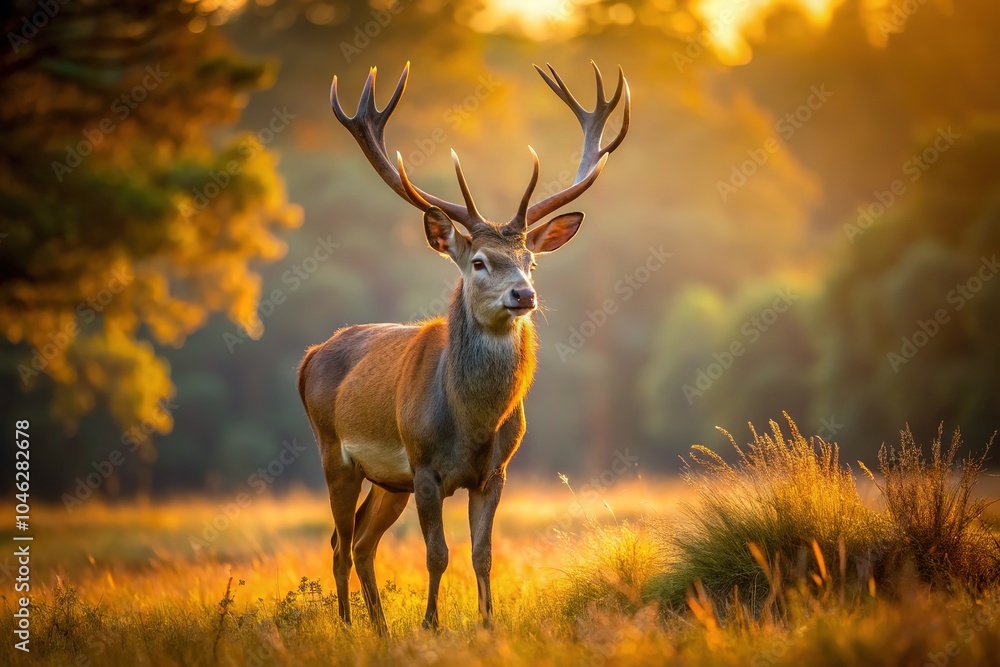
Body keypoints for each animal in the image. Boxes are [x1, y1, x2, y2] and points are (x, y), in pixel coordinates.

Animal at [296, 62, 628, 636]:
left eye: (531, 261)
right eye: (478, 262)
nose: (524, 294)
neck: (471, 424)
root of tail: (310, 356)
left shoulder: (494, 473)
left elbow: (482, 555)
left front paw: (487, 623)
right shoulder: (425, 467)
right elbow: (437, 554)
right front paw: (431, 625)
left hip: (390, 481)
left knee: (360, 542)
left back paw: (379, 628)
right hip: (334, 452)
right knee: (339, 542)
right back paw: (347, 626)